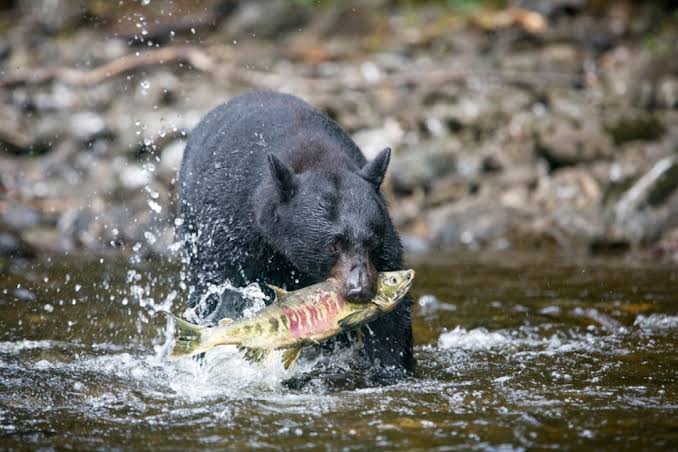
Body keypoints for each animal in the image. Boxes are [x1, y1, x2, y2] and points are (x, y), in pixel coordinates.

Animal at [177, 90, 413, 377]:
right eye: (333, 244)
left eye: (372, 243)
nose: (361, 290)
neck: (320, 158)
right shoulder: (232, 231)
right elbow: (221, 291)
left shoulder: (385, 239)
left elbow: (392, 322)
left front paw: (391, 367)